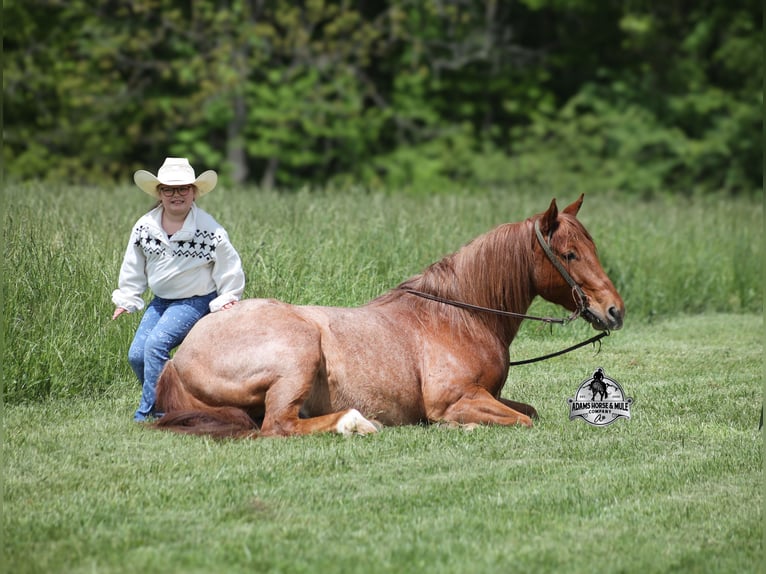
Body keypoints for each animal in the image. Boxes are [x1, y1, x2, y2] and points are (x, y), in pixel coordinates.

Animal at [154, 195, 624, 438]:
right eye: (570, 254)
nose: (614, 310)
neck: (459, 317)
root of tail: (180, 357)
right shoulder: (456, 399)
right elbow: (521, 420)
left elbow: (530, 411)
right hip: (298, 355)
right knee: (279, 425)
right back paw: (356, 422)